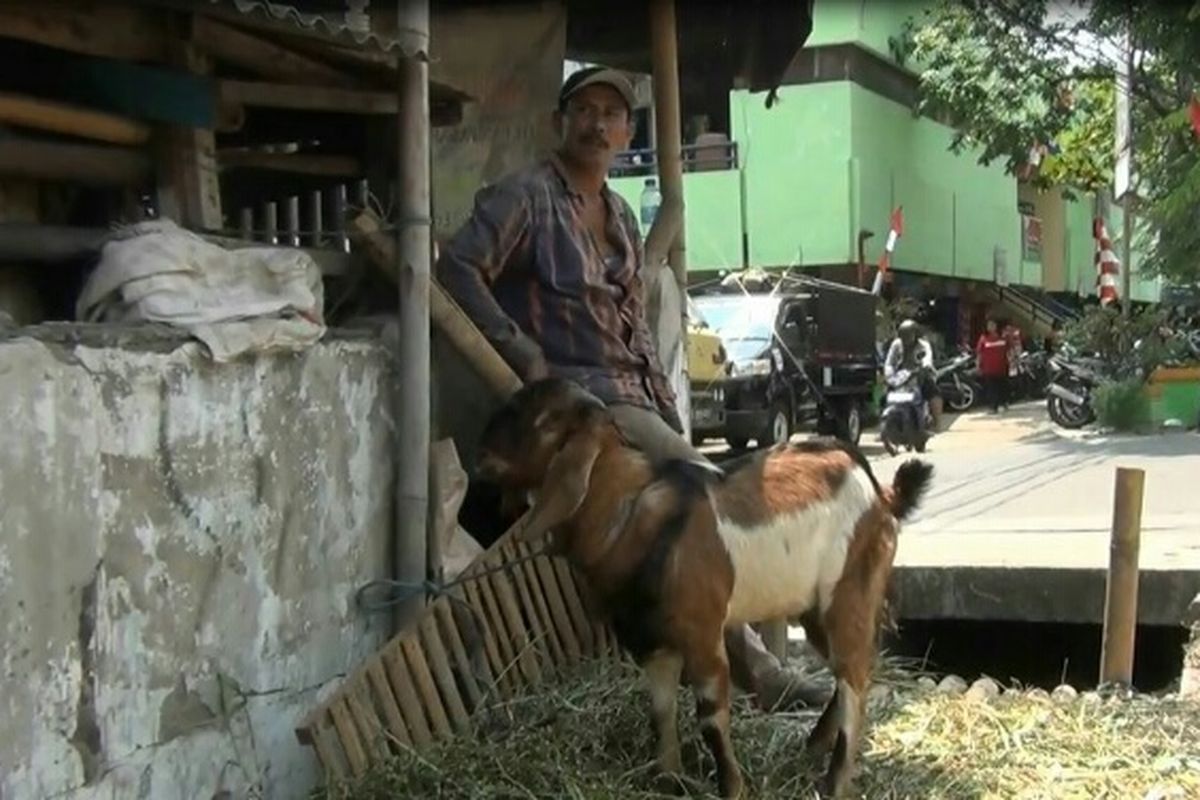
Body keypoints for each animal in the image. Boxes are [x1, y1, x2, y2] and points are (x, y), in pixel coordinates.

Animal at [472, 379, 931, 796]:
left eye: (542, 418)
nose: (481, 456)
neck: (630, 510)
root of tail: (881, 492)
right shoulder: (650, 641)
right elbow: (660, 710)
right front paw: (668, 779)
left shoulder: (703, 633)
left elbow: (710, 718)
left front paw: (731, 788)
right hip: (814, 606)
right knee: (851, 667)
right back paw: (814, 745)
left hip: (849, 592)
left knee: (854, 678)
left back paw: (833, 782)